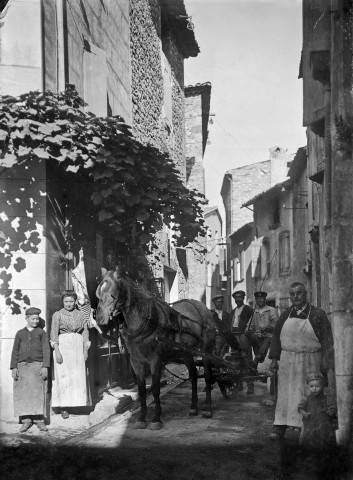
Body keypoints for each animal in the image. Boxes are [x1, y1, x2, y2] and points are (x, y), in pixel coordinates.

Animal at [95, 268, 217, 430]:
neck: (144, 321)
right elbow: (141, 389)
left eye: (112, 292)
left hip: (206, 350)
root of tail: (203, 307)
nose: (99, 318)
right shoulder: (136, 361)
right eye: (98, 292)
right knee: (194, 375)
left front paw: (156, 419)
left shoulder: (155, 360)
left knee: (208, 376)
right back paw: (193, 407)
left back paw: (208, 408)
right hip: (186, 353)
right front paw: (141, 418)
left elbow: (155, 388)